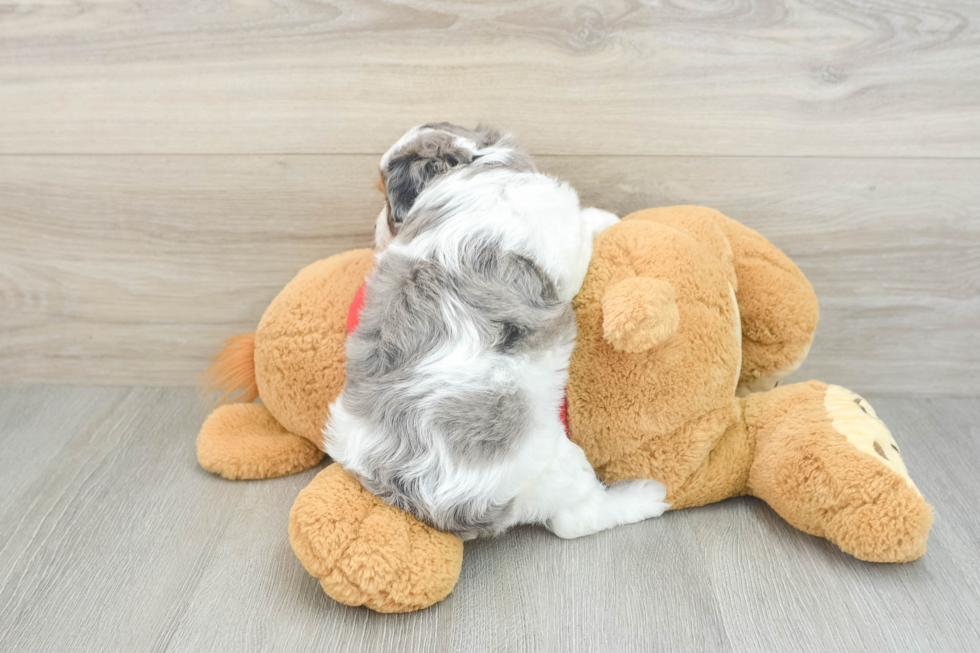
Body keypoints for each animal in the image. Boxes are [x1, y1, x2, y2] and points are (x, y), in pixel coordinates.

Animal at [322, 123, 668, 540]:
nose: (376, 229)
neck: (473, 164)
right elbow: (583, 225)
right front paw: (604, 217)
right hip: (553, 463)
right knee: (573, 519)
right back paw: (646, 495)